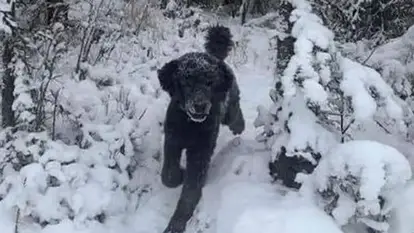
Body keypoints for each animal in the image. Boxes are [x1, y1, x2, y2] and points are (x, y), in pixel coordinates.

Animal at [157, 24, 244, 232]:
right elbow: (168, 176)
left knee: (234, 114)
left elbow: (190, 192)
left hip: (229, 105)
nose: (200, 105)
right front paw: (178, 175)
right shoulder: (172, 140)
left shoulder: (200, 152)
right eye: (186, 81)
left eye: (210, 82)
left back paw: (240, 126)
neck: (190, 125)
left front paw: (176, 223)